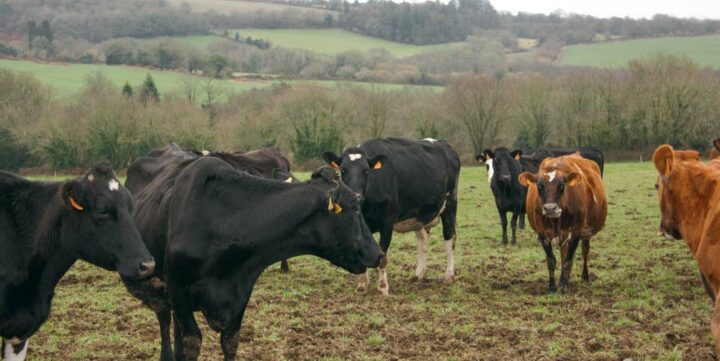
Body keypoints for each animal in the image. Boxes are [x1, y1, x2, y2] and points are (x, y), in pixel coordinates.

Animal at [125, 159, 382, 358]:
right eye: (355, 207)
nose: (379, 254)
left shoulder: (241, 292)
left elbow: (230, 342)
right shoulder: (179, 292)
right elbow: (192, 343)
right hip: (160, 291)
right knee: (165, 321)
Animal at [322, 136, 462, 294]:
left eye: (366, 170)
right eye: (342, 170)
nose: (355, 196)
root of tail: (441, 142)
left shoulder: (387, 222)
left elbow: (383, 255)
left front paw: (383, 288)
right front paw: (362, 285)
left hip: (450, 204)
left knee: (450, 237)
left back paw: (449, 276)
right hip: (419, 215)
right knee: (423, 241)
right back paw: (418, 275)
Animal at [516, 153, 608, 292]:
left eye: (561, 185)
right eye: (539, 186)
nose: (550, 208)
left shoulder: (576, 231)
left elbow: (568, 261)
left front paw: (564, 288)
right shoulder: (541, 232)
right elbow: (551, 260)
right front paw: (553, 287)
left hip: (585, 232)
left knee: (584, 250)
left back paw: (584, 277)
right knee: (563, 253)